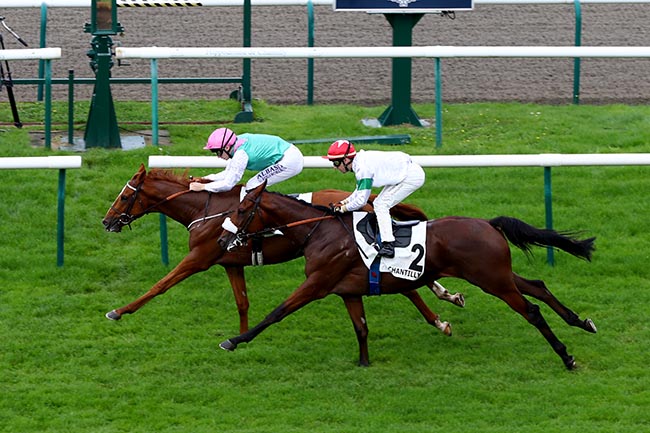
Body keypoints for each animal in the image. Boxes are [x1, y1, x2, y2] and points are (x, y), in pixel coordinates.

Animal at [102, 164, 460, 332]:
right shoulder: (230, 262)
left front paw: (119, 311)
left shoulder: (199, 258)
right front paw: (243, 335)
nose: (106, 222)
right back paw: (446, 299)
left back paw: (440, 316)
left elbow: (160, 285)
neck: (205, 210)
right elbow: (242, 303)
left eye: (125, 195)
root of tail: (367, 200)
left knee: (407, 286)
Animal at [215, 181, 596, 368]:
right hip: (497, 274)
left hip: (492, 280)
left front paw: (234, 340)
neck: (319, 232)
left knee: (532, 310)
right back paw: (582, 322)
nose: (221, 238)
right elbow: (361, 327)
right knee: (538, 287)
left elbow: (276, 313)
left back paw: (566, 356)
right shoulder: (348, 291)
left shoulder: (317, 283)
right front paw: (364, 362)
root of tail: (488, 223)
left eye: (243, 209)